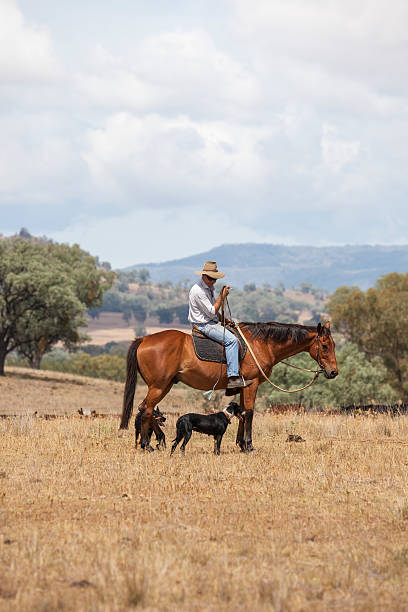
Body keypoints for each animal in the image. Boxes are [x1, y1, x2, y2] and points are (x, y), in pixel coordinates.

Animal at [118, 320, 338, 450]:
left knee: (147, 410)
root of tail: (143, 339)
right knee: (146, 409)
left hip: (162, 386)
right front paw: (248, 446)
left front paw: (240, 444)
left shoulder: (242, 387)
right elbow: (249, 412)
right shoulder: (252, 385)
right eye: (324, 345)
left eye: (333, 345)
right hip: (159, 386)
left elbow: (241, 413)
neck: (261, 344)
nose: (334, 372)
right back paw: (147, 444)